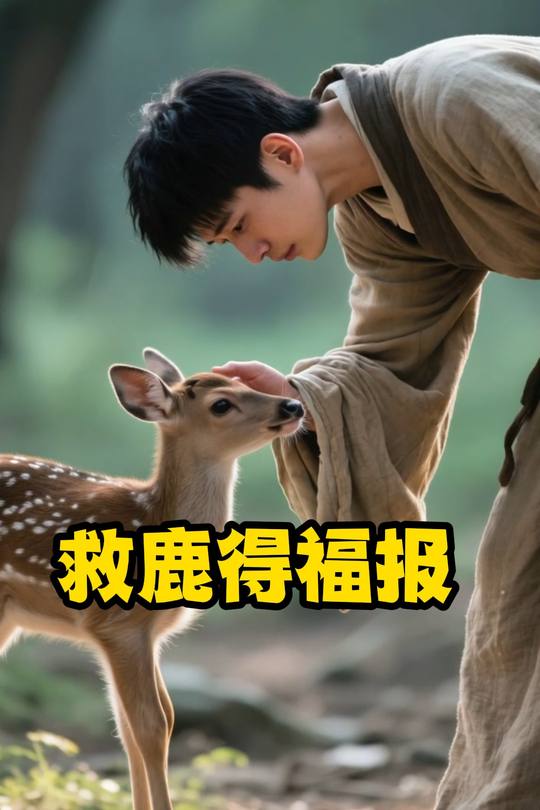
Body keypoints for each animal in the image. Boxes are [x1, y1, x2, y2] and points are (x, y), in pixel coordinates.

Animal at [0, 347, 304, 810]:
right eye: (221, 404)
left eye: (248, 384)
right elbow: (151, 726)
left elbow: (136, 726)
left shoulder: (146, 633)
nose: (292, 405)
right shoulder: (119, 625)